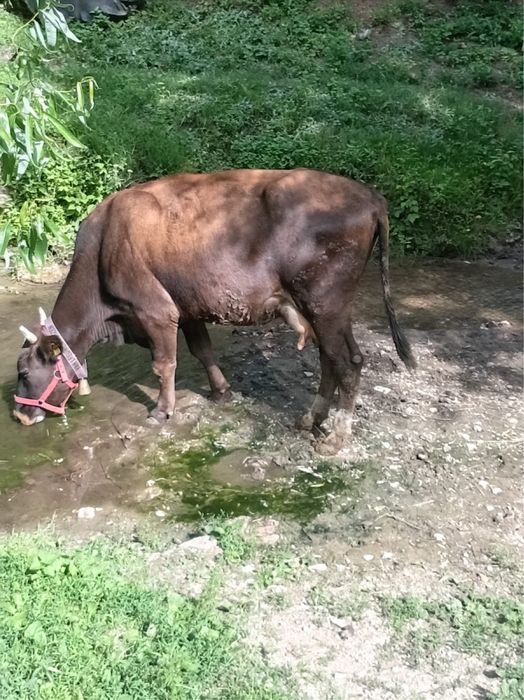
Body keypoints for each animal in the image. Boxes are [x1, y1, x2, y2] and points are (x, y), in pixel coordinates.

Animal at [13, 168, 415, 453]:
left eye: (24, 371)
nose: (19, 415)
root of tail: (369, 195)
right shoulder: (187, 307)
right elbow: (201, 350)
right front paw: (221, 391)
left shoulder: (156, 310)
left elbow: (165, 363)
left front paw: (162, 410)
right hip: (329, 311)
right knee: (339, 359)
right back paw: (311, 418)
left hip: (324, 304)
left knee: (345, 364)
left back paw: (336, 438)